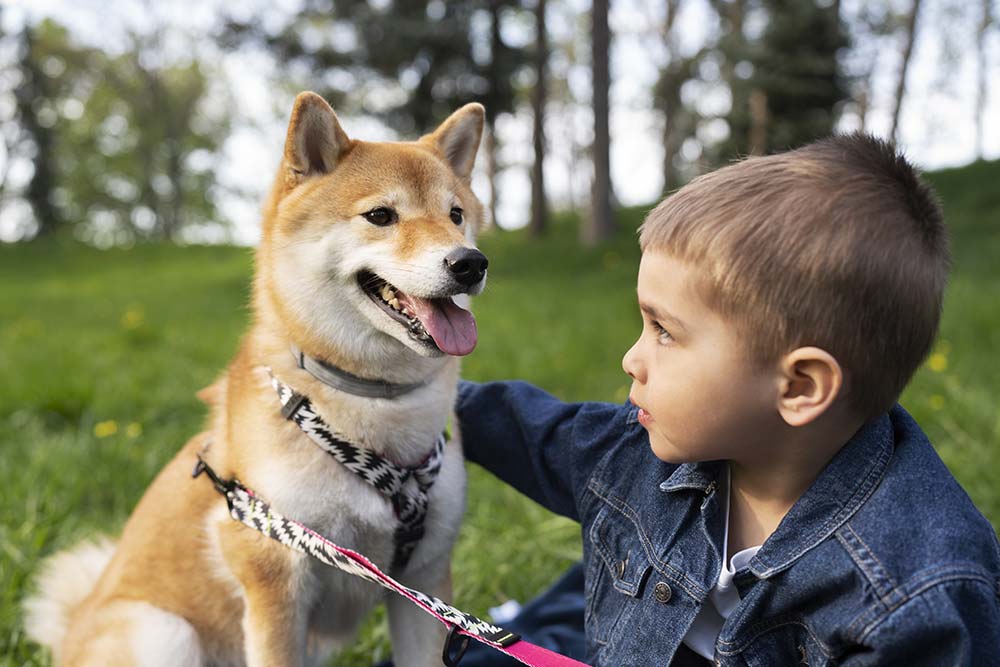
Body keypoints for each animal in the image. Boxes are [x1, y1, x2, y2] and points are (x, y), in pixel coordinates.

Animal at [23, 92, 488, 667]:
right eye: (381, 216)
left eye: (456, 215)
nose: (471, 263)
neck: (374, 405)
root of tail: (70, 633)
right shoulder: (274, 580)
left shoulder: (423, 580)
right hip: (165, 634)